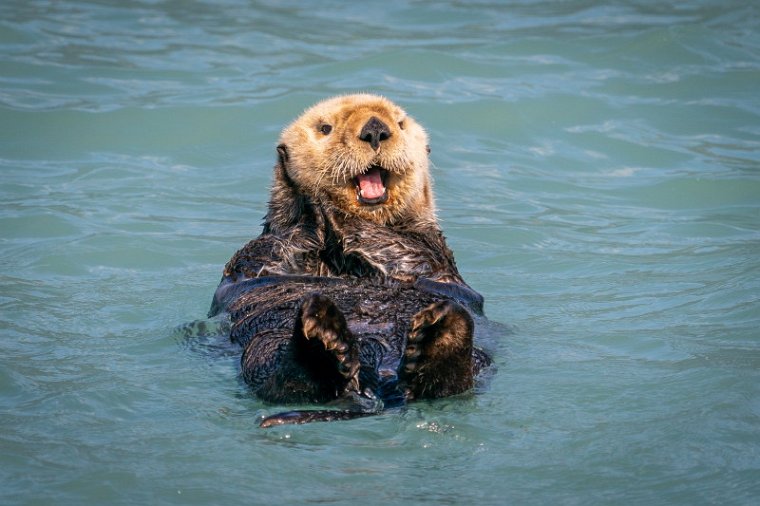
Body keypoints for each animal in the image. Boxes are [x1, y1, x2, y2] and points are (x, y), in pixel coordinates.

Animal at [209, 95, 492, 426]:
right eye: (325, 128)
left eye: (400, 124)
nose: (375, 130)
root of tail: (381, 384)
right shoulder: (254, 255)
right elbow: (276, 250)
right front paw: (312, 201)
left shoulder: (435, 254)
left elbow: (409, 254)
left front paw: (330, 210)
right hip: (265, 346)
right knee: (285, 376)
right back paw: (324, 336)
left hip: (479, 358)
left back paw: (440, 331)